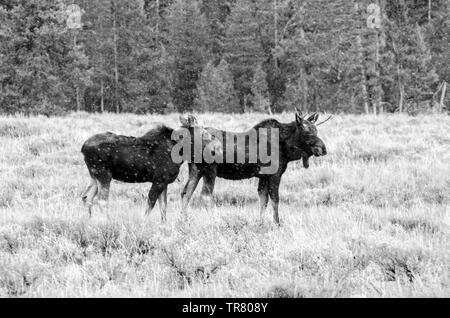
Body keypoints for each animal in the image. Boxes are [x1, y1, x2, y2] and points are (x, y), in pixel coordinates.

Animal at [81, 114, 222, 221]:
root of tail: (83, 148)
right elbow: (151, 203)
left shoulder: (164, 182)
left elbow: (163, 206)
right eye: (204, 133)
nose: (217, 149)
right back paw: (108, 222)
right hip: (103, 174)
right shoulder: (159, 180)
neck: (180, 152)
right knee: (102, 200)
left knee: (86, 196)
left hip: (94, 175)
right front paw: (144, 221)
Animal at [181, 109, 328, 224]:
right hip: (210, 170)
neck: (286, 147)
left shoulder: (263, 177)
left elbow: (264, 200)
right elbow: (275, 200)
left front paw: (260, 223)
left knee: (186, 193)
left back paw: (184, 221)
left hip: (195, 169)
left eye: (316, 130)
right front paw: (277, 223)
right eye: (306, 132)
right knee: (205, 196)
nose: (323, 149)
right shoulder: (275, 174)